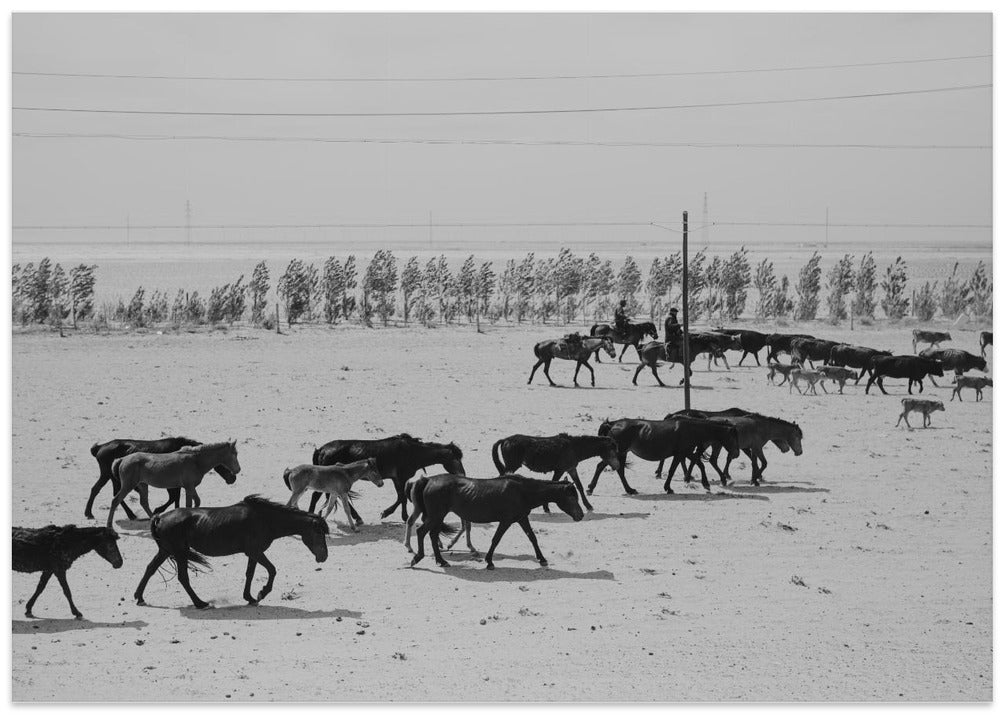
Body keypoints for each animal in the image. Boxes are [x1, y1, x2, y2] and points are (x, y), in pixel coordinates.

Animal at [85, 437, 234, 520]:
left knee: (110, 492)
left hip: (113, 478)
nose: (233, 479)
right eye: (222, 464)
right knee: (99, 490)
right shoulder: (174, 483)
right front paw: (159, 510)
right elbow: (174, 497)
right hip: (107, 475)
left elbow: (176, 498)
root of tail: (100, 447)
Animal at [133, 495, 329, 609]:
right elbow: (272, 570)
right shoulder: (255, 551)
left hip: (167, 550)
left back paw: (139, 597)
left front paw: (250, 597)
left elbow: (250, 574)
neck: (266, 519)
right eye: (319, 532)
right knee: (182, 577)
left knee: (150, 569)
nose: (324, 556)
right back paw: (200, 603)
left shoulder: (252, 554)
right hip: (179, 552)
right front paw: (261, 593)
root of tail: (159, 517)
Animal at [310, 434, 465, 523]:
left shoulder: (397, 479)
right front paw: (390, 514)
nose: (462, 474)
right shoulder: (401, 478)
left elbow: (401, 497)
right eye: (455, 458)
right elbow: (402, 497)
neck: (413, 452)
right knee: (317, 496)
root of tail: (322, 449)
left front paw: (398, 515)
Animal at [409, 474, 584, 570]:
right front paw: (489, 562)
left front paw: (542, 559)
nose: (581, 515)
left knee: (432, 535)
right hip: (436, 515)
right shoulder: (506, 521)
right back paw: (417, 558)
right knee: (421, 532)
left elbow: (532, 538)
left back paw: (441, 561)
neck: (523, 491)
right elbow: (496, 539)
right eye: (571, 496)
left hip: (437, 516)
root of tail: (428, 480)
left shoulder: (522, 518)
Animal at [491, 433, 621, 512]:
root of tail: (505, 440)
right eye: (612, 450)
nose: (618, 466)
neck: (575, 447)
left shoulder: (571, 469)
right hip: (512, 465)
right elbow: (553, 483)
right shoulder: (560, 470)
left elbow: (579, 485)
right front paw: (546, 508)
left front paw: (589, 506)